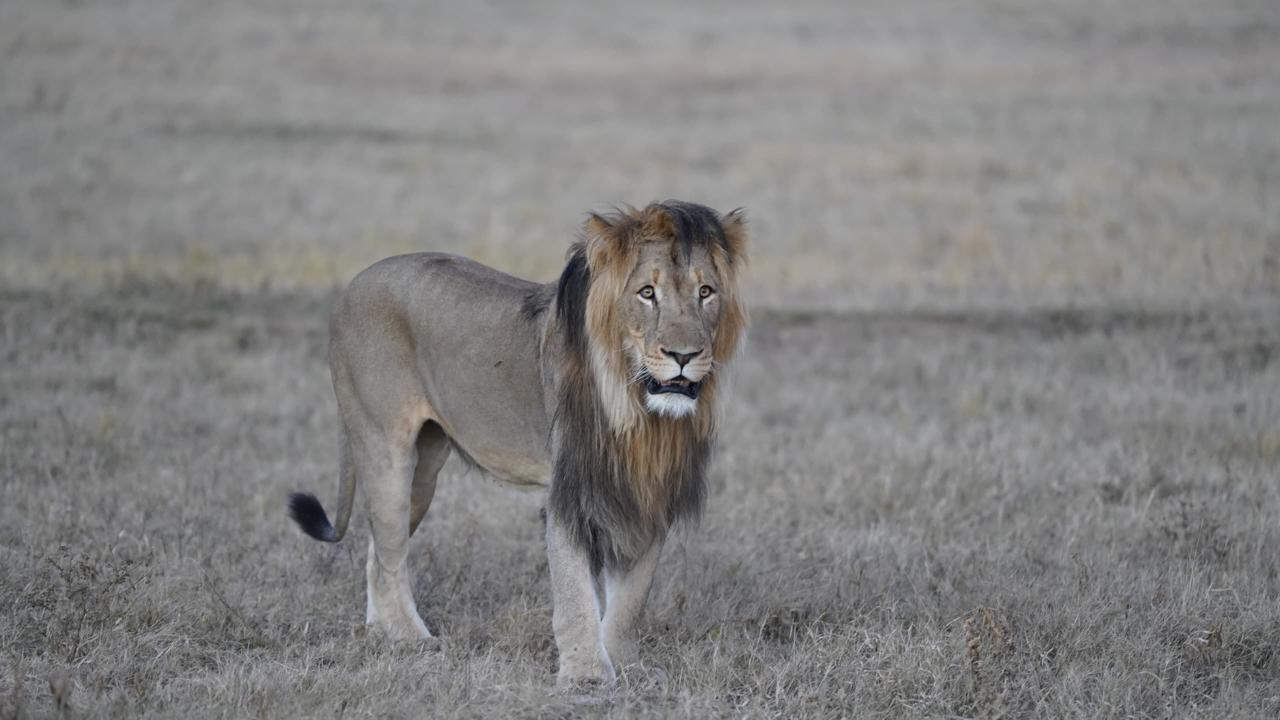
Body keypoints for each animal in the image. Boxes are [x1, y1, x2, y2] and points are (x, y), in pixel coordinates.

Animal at [287, 200, 747, 685]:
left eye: (705, 292)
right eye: (646, 293)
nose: (684, 356)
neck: (640, 412)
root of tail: (353, 284)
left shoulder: (648, 492)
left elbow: (631, 598)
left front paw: (627, 664)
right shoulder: (569, 494)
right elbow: (576, 592)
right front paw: (586, 675)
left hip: (424, 469)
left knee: (378, 550)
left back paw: (384, 633)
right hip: (385, 447)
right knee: (390, 553)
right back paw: (412, 641)